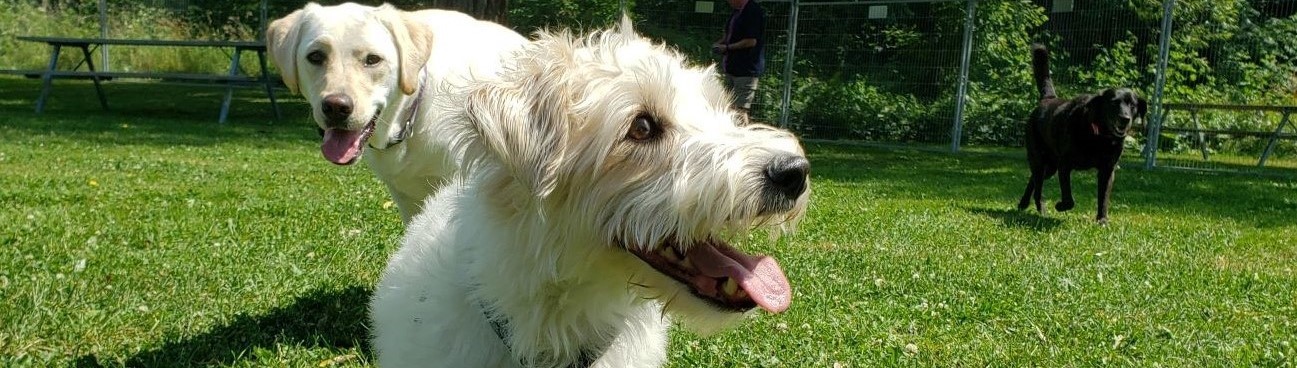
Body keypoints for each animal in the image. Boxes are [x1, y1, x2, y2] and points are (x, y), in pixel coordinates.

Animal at [1022, 44, 1146, 225]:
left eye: (1133, 105)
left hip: (1050, 166)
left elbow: (1103, 198)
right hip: (1039, 159)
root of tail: (1048, 99)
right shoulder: (1065, 165)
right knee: (1038, 186)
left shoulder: (1108, 170)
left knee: (1033, 179)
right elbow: (1069, 199)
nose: (1125, 118)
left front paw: (1102, 220)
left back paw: (1023, 204)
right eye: (1114, 103)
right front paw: (1060, 206)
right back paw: (1041, 208)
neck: (1100, 137)